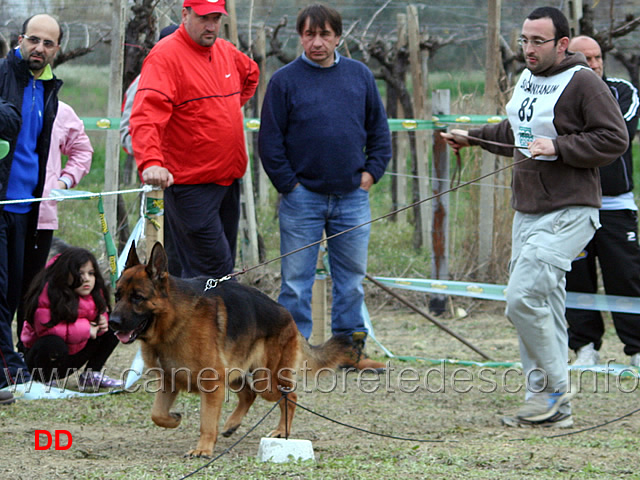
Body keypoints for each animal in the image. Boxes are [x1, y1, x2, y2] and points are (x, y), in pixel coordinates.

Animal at [110, 244, 350, 458]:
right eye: (117, 296)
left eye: (138, 298)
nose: (112, 322)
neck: (174, 321)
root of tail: (288, 315)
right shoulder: (169, 382)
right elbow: (157, 415)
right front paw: (174, 419)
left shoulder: (210, 384)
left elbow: (206, 422)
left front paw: (203, 449)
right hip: (235, 373)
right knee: (250, 394)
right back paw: (232, 424)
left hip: (265, 381)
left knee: (289, 396)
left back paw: (282, 430)